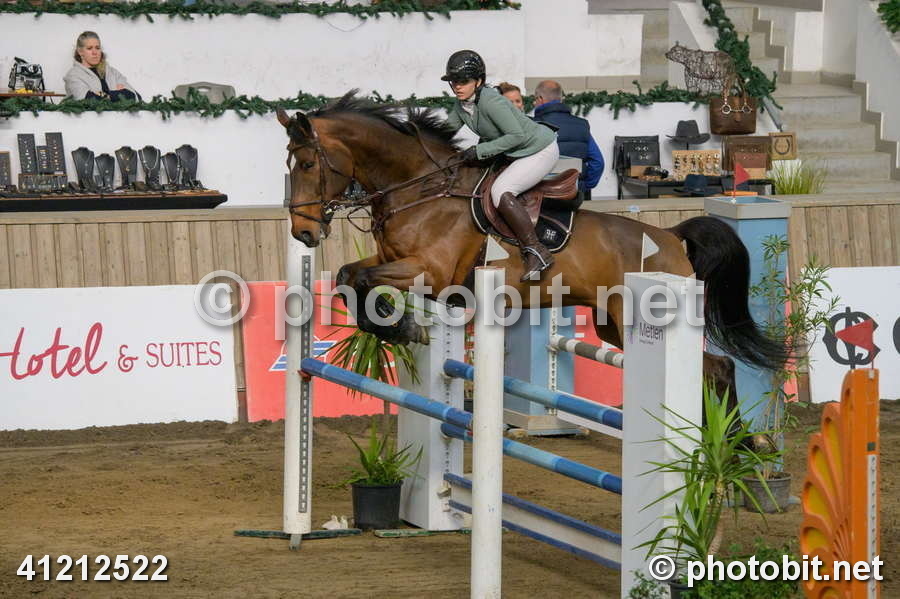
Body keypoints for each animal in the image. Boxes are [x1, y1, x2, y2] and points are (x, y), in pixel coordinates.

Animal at [275, 92, 788, 402]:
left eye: (306, 164)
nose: (303, 233)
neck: (420, 188)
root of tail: (672, 238)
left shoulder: (431, 273)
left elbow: (362, 279)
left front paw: (403, 328)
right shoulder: (393, 261)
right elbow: (349, 277)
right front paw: (395, 326)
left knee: (717, 367)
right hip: (612, 325)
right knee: (712, 367)